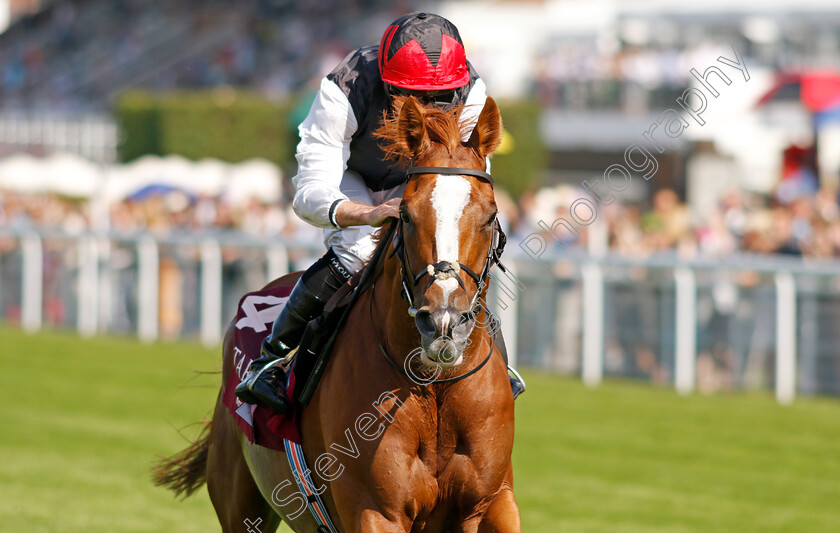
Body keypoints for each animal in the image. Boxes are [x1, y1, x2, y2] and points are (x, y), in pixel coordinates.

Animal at [153, 96, 520, 532]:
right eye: (406, 214)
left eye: (490, 215)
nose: (443, 322)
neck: (436, 388)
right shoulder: (375, 510)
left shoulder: (491, 502)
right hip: (240, 502)